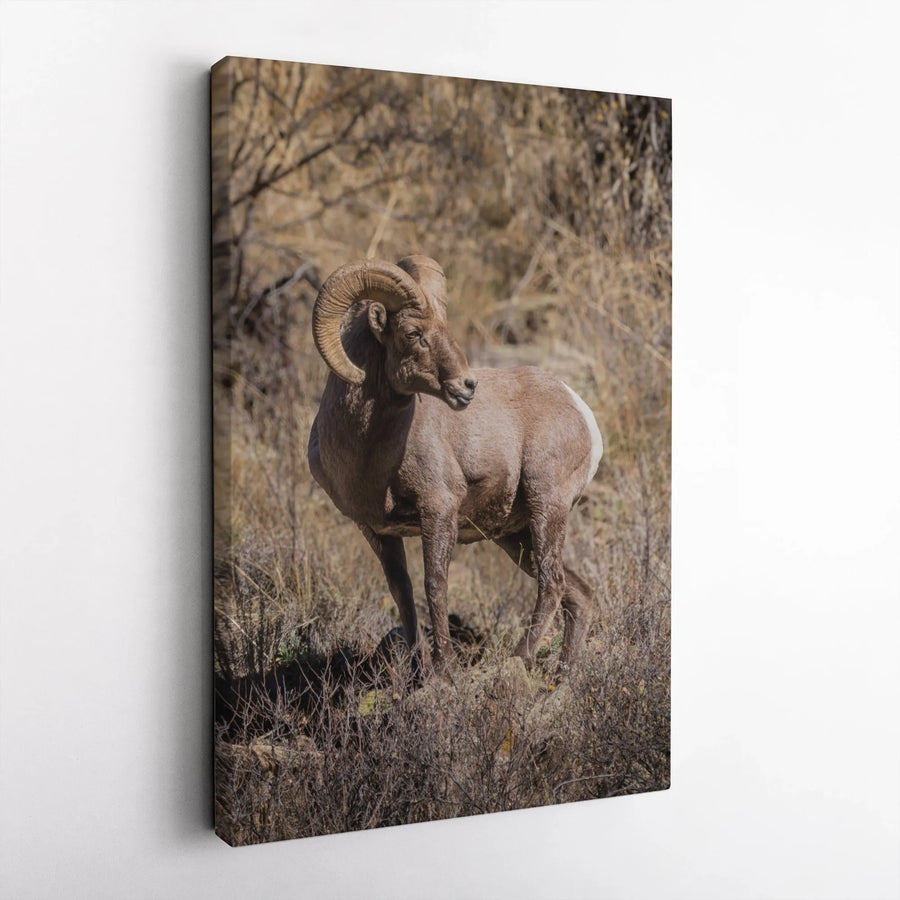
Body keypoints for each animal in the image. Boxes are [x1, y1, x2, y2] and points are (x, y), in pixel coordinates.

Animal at [307, 255, 603, 675]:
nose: (467, 386)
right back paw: (563, 674)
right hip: (514, 536)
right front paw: (420, 671)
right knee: (578, 594)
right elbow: (402, 592)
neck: (368, 453)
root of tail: (578, 406)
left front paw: (445, 668)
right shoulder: (376, 529)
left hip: (546, 506)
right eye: (413, 333)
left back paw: (519, 658)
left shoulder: (439, 508)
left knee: (554, 583)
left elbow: (436, 584)